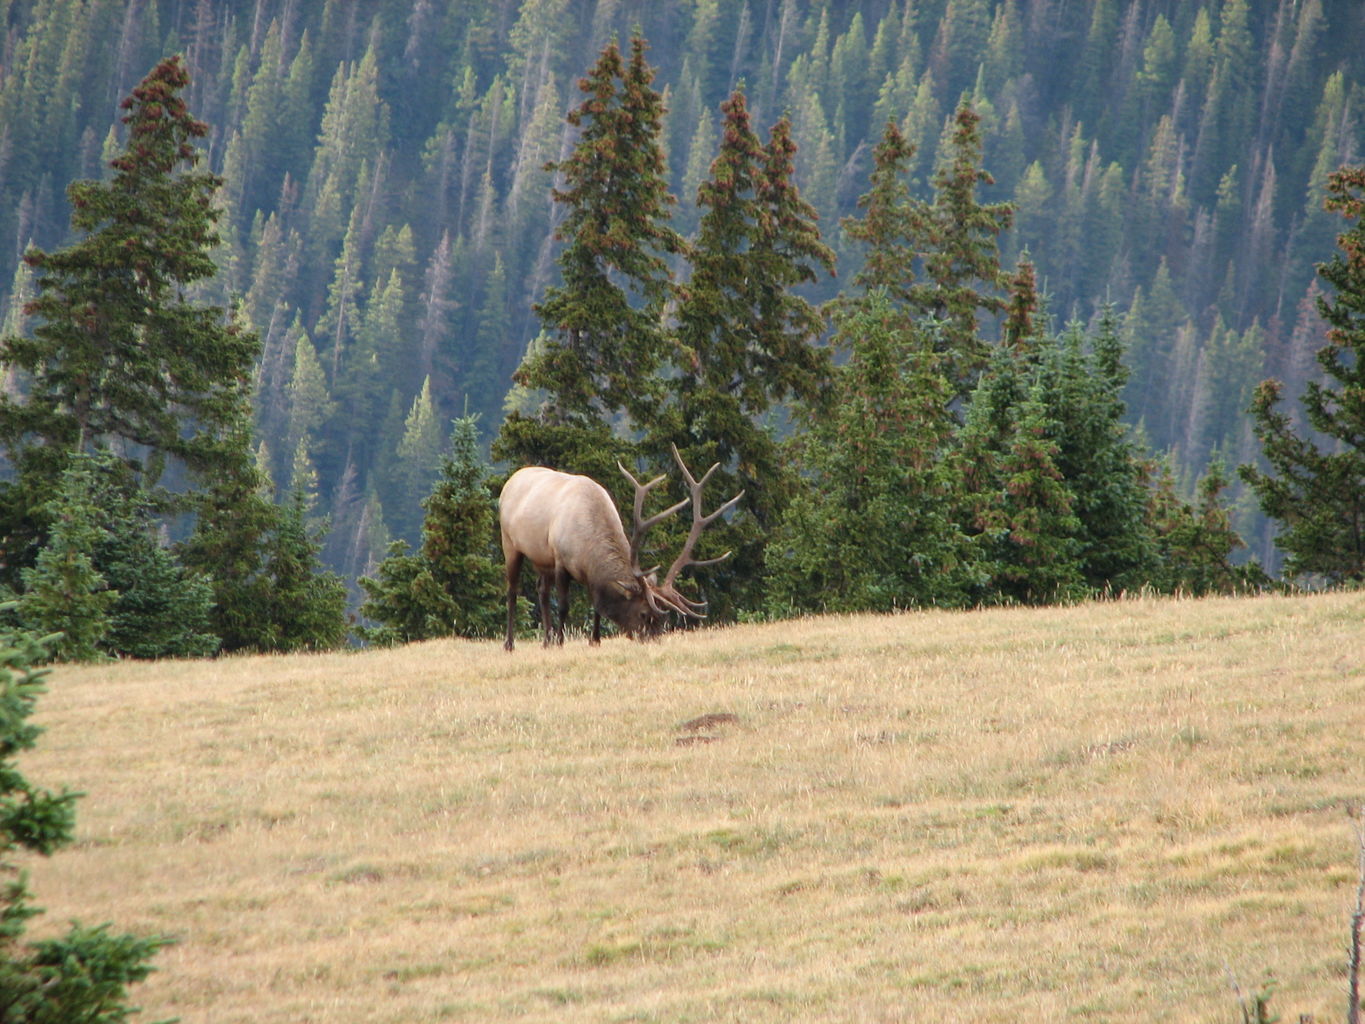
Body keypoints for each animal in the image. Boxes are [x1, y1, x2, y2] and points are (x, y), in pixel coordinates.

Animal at [496, 447, 742, 652]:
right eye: (643, 614)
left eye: (663, 620)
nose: (652, 641)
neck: (586, 547)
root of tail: (510, 481)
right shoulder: (560, 561)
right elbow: (564, 605)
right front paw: (560, 641)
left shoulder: (586, 574)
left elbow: (596, 606)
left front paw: (594, 640)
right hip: (510, 543)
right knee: (512, 590)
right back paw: (510, 643)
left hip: (540, 558)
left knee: (542, 591)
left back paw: (545, 640)